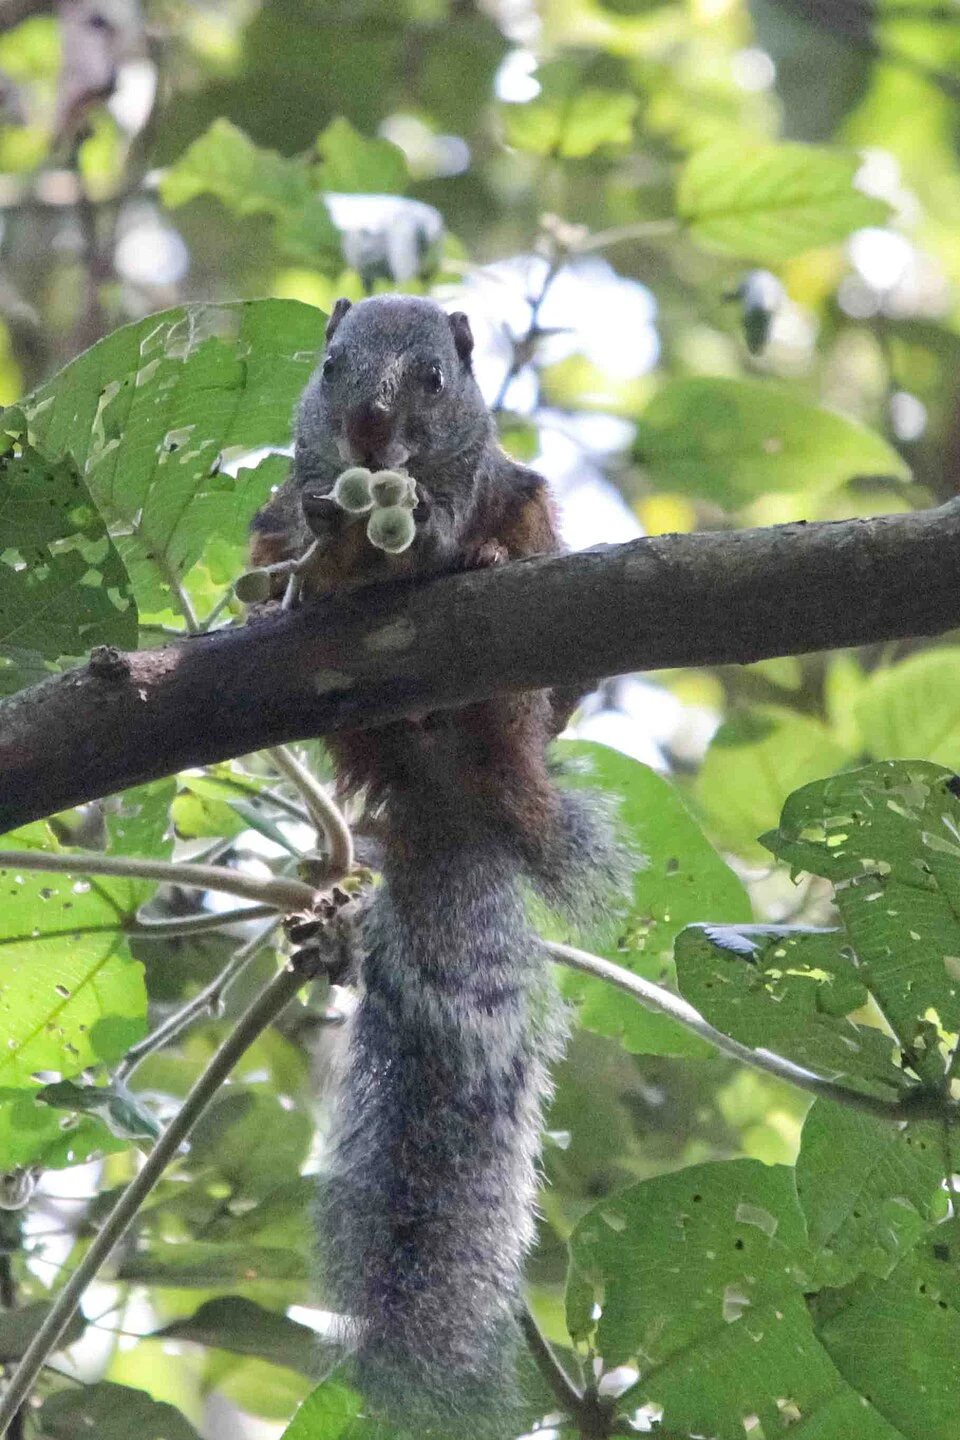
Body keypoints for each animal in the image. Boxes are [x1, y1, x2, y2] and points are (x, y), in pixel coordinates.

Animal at [249, 294, 618, 1433]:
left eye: (434, 380)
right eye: (329, 366)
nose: (369, 429)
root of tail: (451, 795)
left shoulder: (480, 482)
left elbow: (449, 524)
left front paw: (448, 541)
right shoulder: (282, 512)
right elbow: (300, 544)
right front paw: (329, 543)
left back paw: (494, 577)